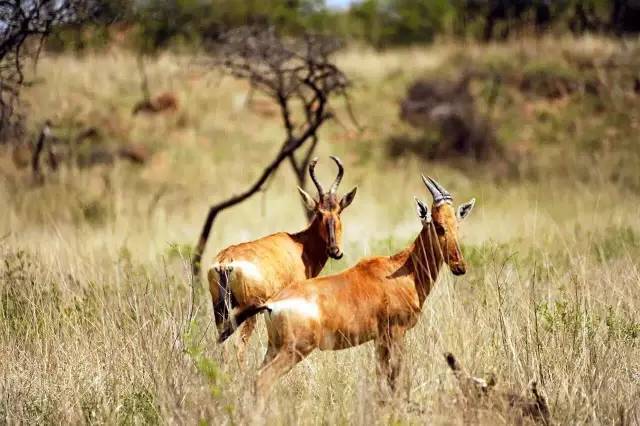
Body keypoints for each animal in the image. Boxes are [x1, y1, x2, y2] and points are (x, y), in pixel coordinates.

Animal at [210, 156, 360, 360]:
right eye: (319, 212)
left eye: (338, 211)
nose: (335, 250)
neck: (299, 244)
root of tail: (225, 261)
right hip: (249, 311)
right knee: (238, 346)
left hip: (220, 310)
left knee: (221, 344)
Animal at [220, 173, 476, 400]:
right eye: (439, 226)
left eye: (457, 225)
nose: (459, 267)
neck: (402, 270)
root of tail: (272, 303)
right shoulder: (396, 333)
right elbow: (396, 378)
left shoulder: (380, 339)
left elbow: (382, 377)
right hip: (295, 349)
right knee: (262, 379)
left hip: (274, 347)